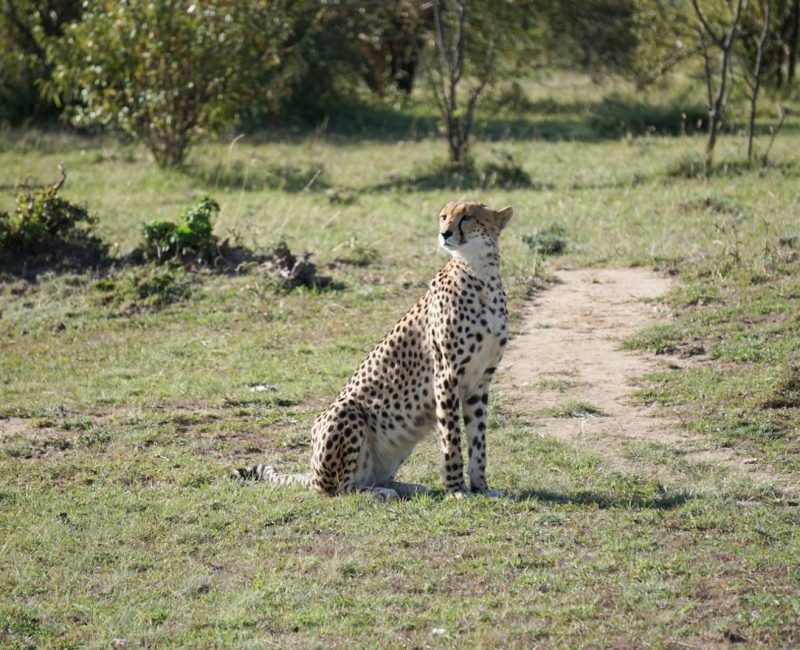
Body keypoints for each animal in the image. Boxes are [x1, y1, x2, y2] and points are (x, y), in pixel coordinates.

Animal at [234, 200, 516, 498]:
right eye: (443, 216)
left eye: (467, 217)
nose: (445, 234)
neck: (480, 272)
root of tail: (312, 474)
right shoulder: (446, 376)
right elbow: (451, 439)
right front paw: (455, 489)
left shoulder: (480, 382)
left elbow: (478, 441)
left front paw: (481, 487)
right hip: (346, 412)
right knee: (340, 488)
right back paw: (379, 493)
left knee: (371, 478)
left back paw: (407, 487)